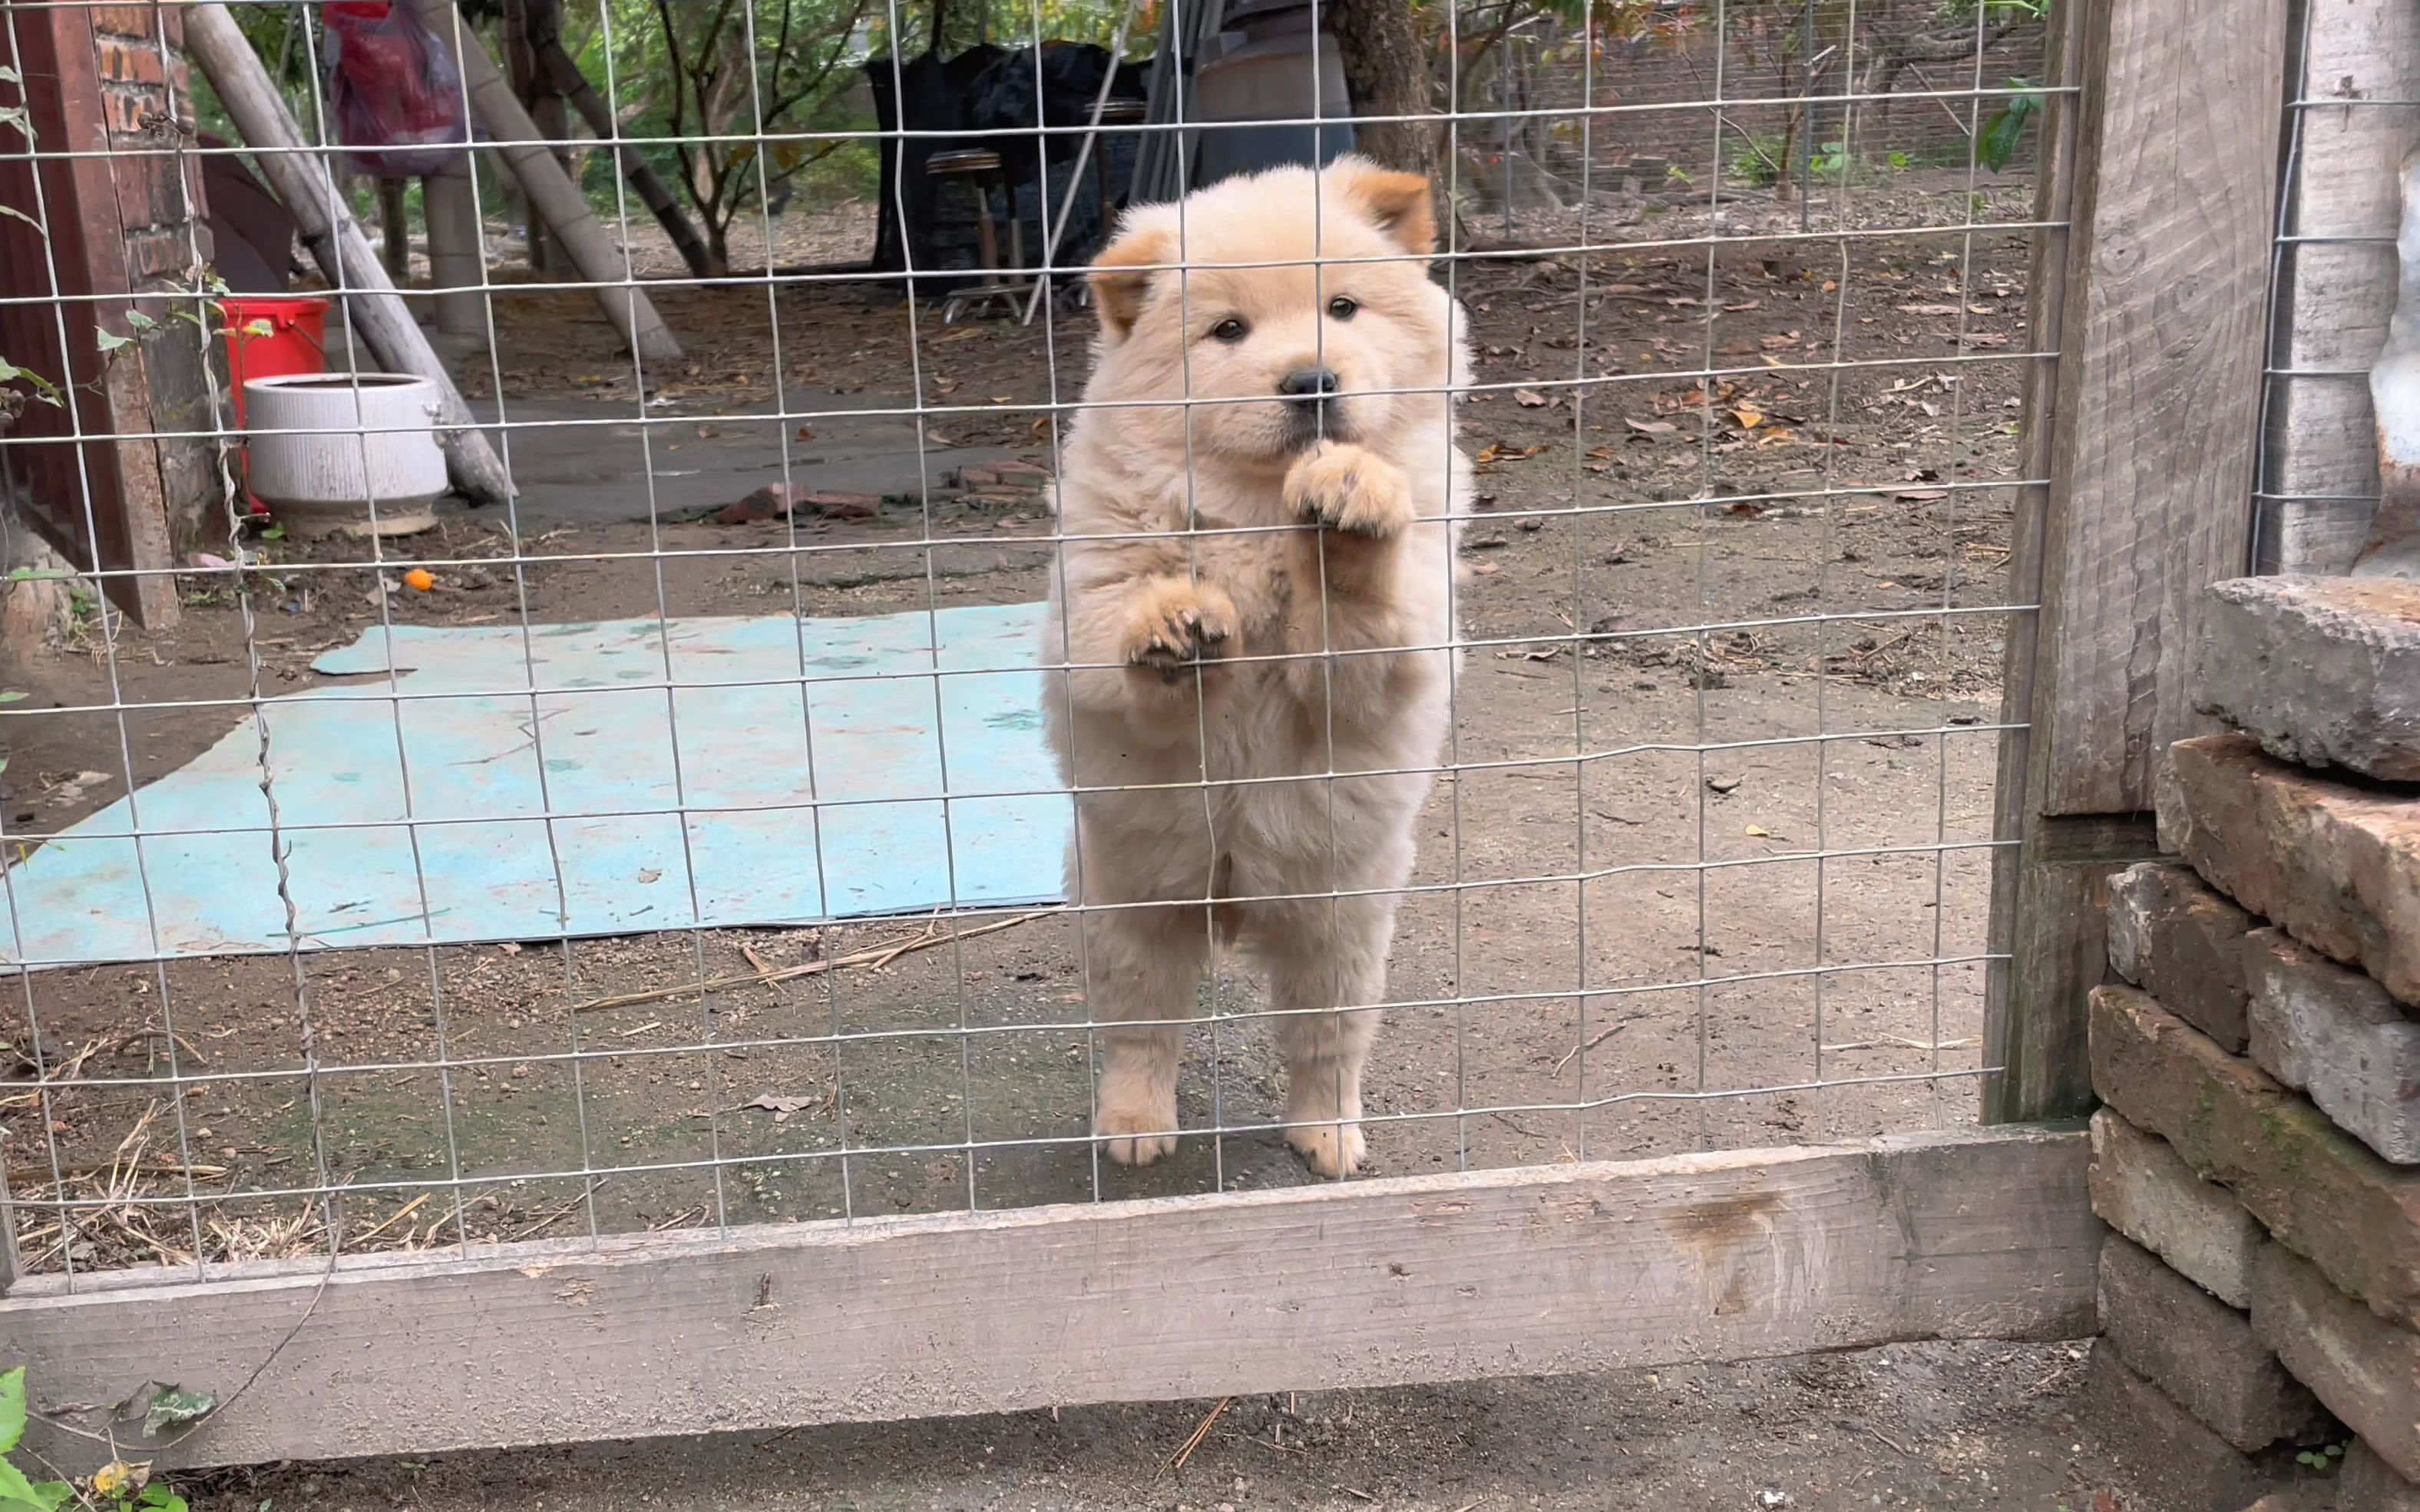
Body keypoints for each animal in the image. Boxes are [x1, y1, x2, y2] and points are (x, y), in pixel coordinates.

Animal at [1036, 154, 1461, 1175]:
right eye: (1228, 330)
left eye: (1341, 308)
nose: (1309, 379)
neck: (1258, 511)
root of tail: (1234, 901)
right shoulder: (1093, 615)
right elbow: (1136, 631)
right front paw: (1177, 623)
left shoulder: (1373, 663)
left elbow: (1353, 600)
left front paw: (1347, 495)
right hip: (1133, 908)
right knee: (1142, 1035)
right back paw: (1135, 1130)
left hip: (1338, 927)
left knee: (1324, 1046)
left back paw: (1328, 1137)